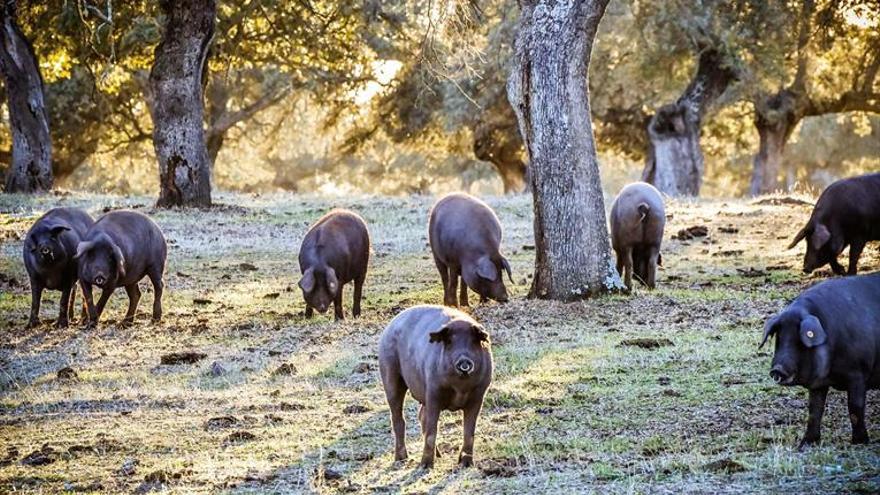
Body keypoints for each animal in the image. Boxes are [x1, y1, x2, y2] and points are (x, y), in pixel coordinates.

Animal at [380, 304, 496, 470]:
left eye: (473, 341)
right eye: (449, 341)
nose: (464, 361)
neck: (460, 388)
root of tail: (390, 325)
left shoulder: (478, 396)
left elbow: (469, 432)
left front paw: (466, 464)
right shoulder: (433, 391)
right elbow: (431, 431)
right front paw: (425, 466)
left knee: (421, 416)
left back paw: (439, 455)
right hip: (389, 375)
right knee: (398, 418)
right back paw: (402, 459)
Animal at [756, 274, 880, 452]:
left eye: (799, 340)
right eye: (779, 338)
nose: (777, 369)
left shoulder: (858, 373)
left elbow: (855, 407)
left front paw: (859, 442)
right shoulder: (819, 385)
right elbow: (814, 410)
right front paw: (805, 444)